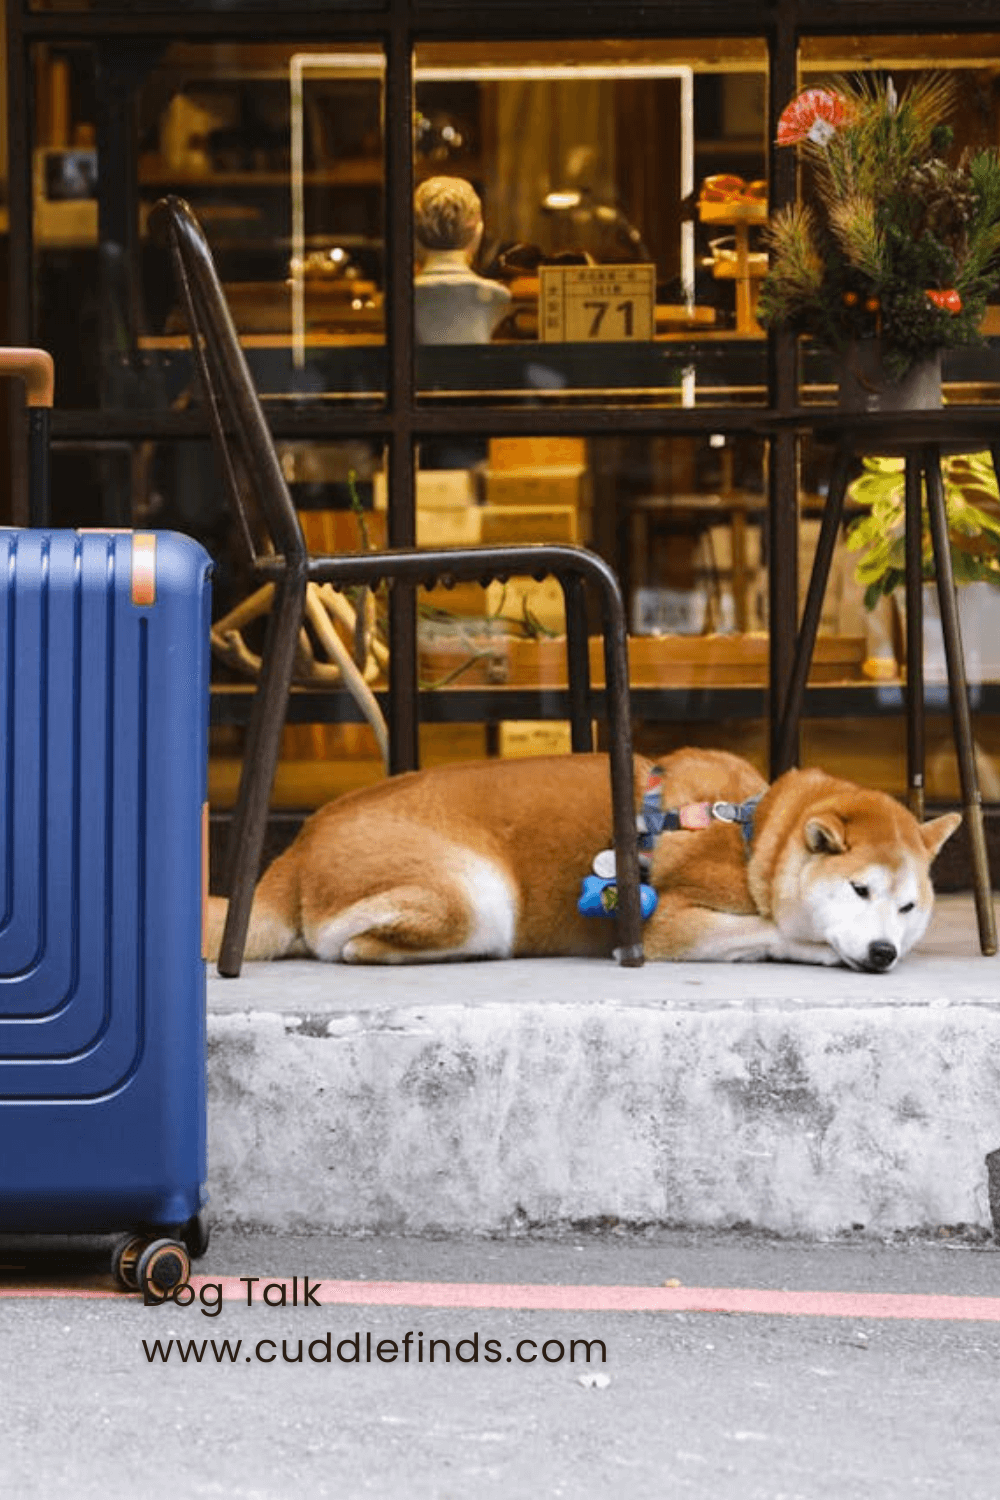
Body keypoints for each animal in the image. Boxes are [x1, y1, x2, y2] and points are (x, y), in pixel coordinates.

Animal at [205, 750, 959, 972]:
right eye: (859, 890)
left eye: (908, 906)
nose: (886, 952)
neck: (753, 834)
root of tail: (297, 846)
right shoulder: (667, 926)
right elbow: (774, 931)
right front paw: (817, 948)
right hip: (476, 895)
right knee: (352, 947)